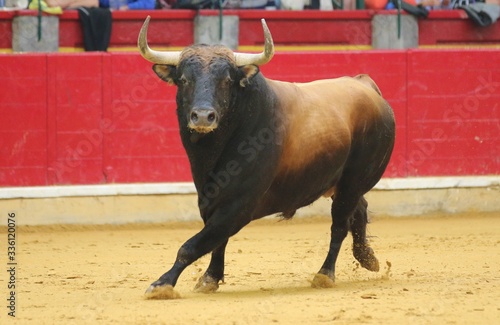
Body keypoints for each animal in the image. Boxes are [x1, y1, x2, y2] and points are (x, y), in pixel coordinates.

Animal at [137, 16, 394, 298]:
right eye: (183, 79)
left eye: (227, 80)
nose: (203, 116)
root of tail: (366, 87)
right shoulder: (211, 199)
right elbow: (216, 241)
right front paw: (210, 278)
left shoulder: (239, 204)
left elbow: (195, 244)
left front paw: (162, 284)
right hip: (343, 184)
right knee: (359, 209)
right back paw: (367, 258)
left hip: (353, 181)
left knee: (339, 225)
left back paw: (325, 274)